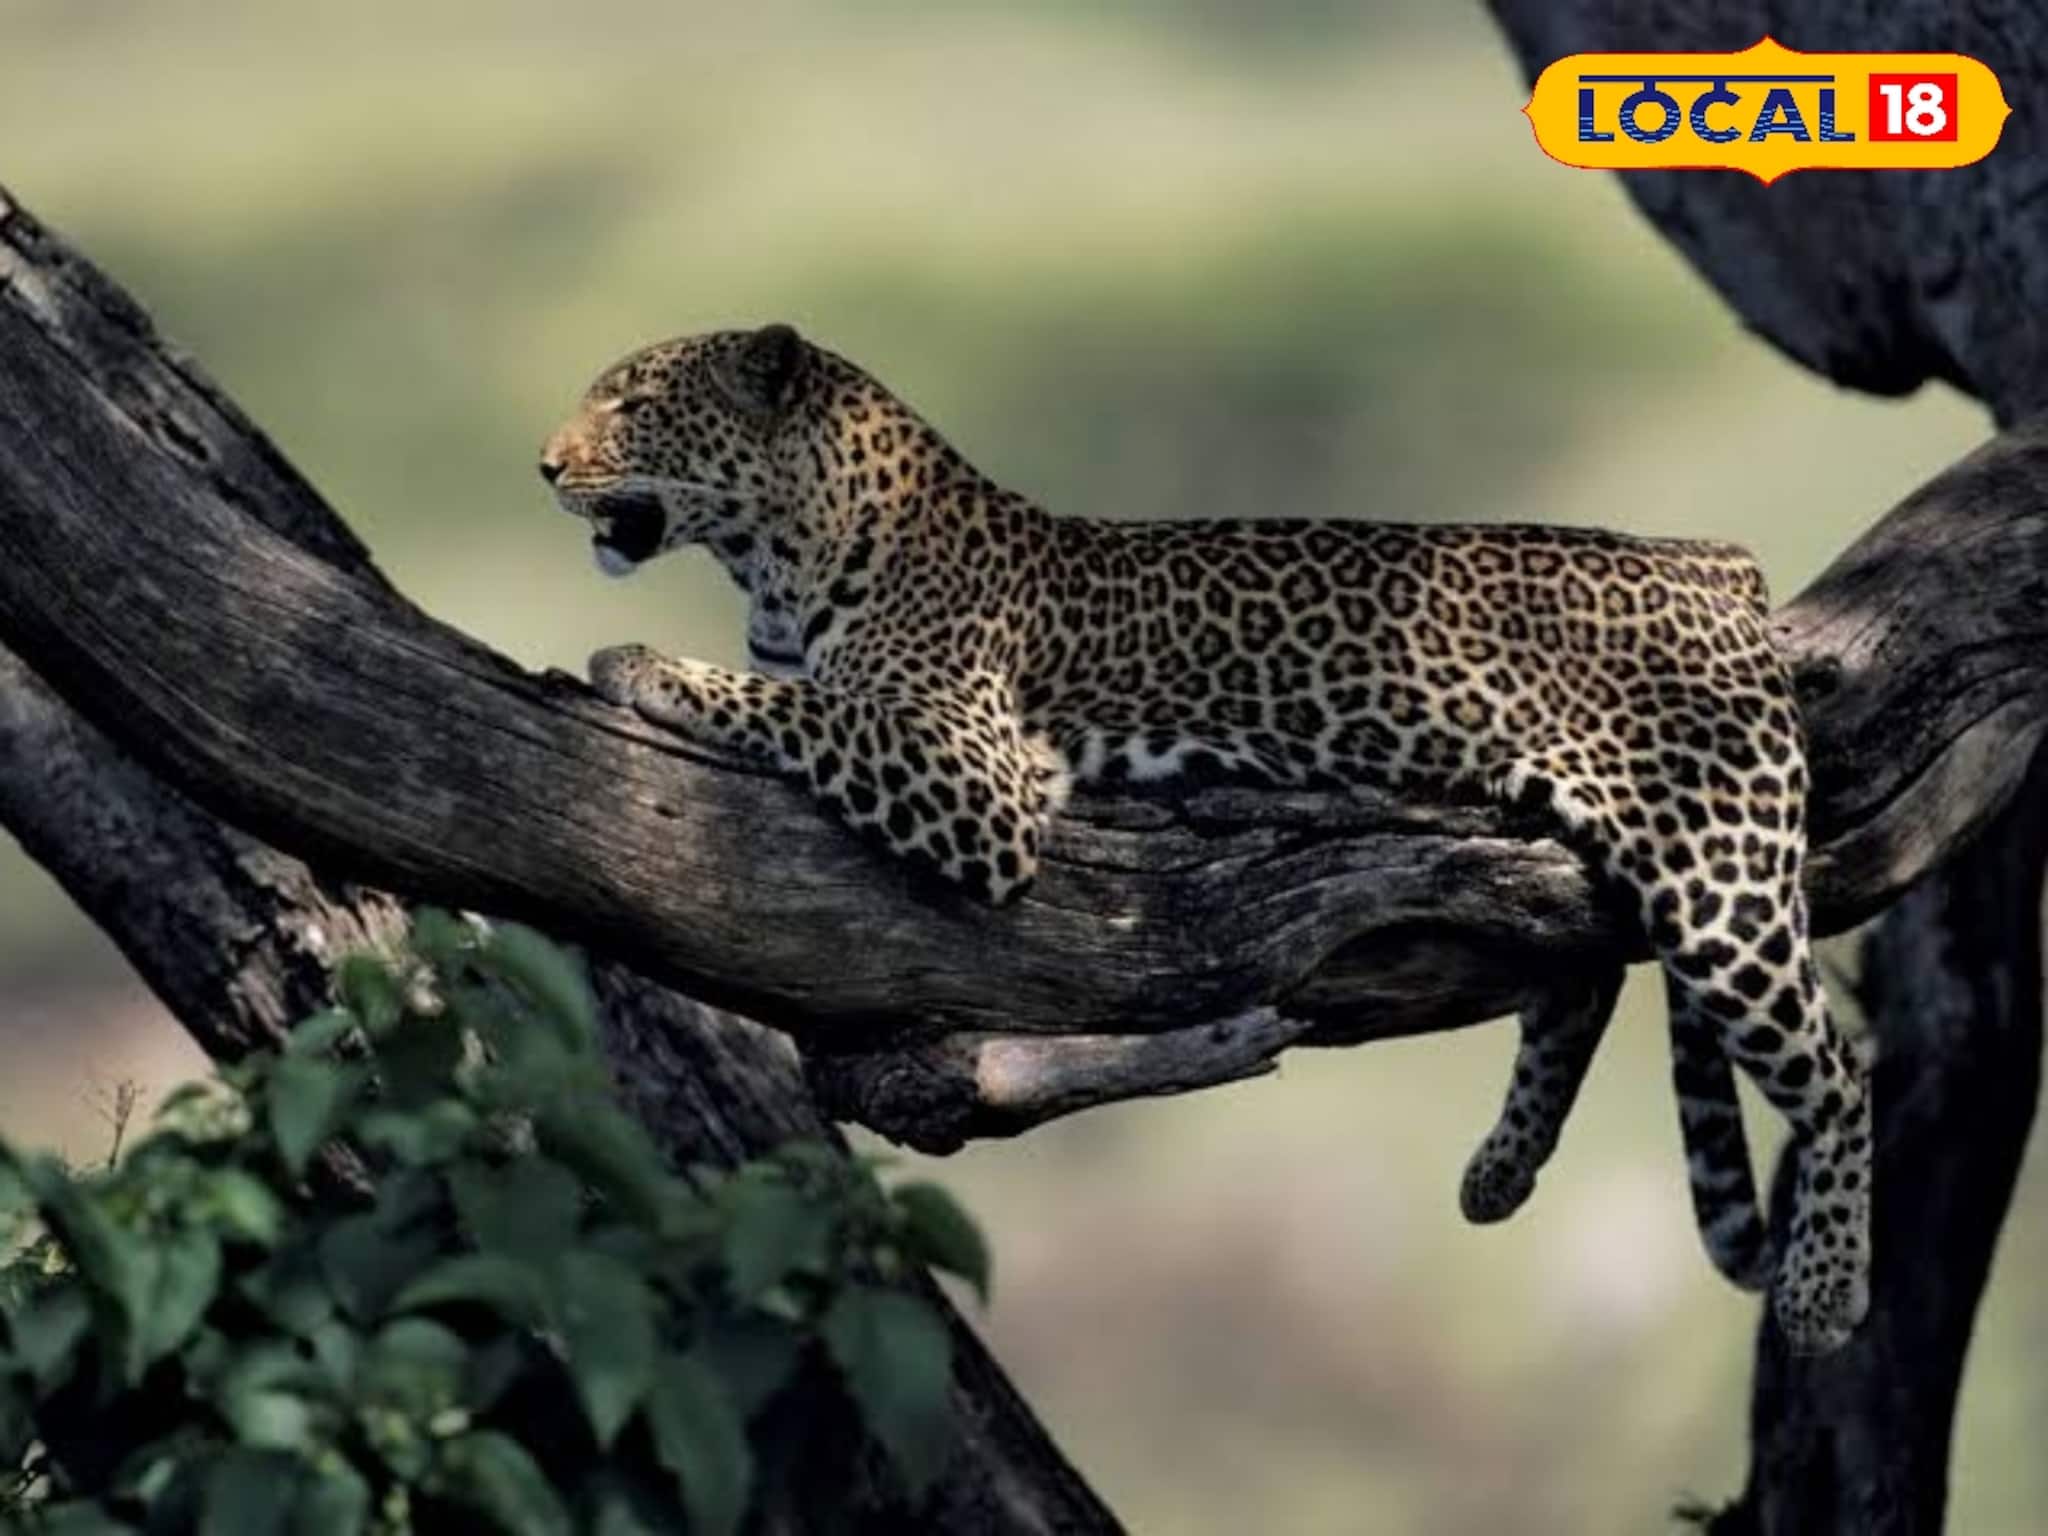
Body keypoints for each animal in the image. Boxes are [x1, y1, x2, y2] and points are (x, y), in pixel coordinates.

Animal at [539, 322, 1873, 1354]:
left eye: (636, 405)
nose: (545, 465)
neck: (782, 553)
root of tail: (1710, 558)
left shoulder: (976, 775)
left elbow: (798, 707)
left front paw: (638, 663)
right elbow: (798, 698)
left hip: (1714, 866)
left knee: (1841, 1066)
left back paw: (1823, 1295)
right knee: (1578, 972)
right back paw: (1497, 1173)